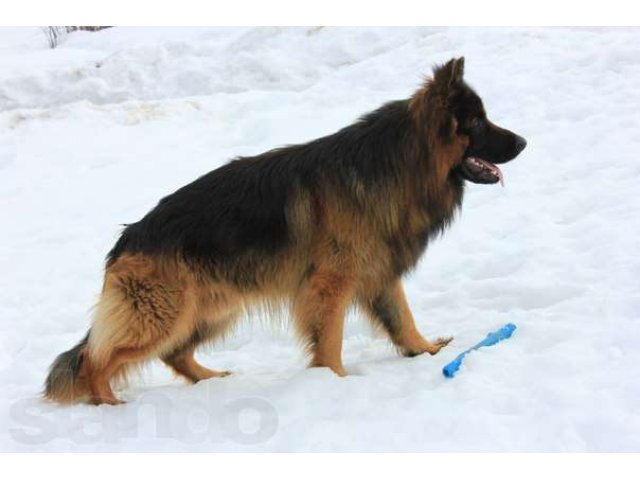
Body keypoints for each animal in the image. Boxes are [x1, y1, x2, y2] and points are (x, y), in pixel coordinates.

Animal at [43, 57, 524, 404]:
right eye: (477, 123)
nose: (523, 143)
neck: (397, 165)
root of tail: (127, 240)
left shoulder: (379, 274)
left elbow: (403, 321)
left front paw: (426, 352)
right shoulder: (329, 287)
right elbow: (330, 342)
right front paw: (334, 382)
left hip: (211, 311)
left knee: (171, 352)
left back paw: (208, 379)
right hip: (164, 315)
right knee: (94, 358)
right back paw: (107, 403)